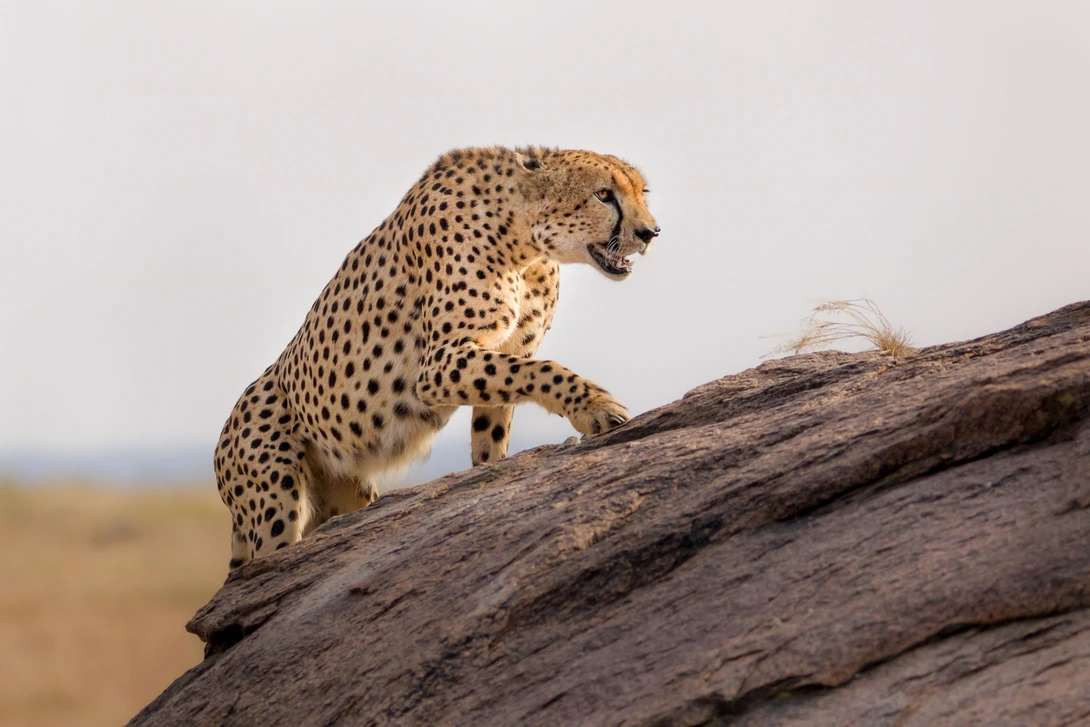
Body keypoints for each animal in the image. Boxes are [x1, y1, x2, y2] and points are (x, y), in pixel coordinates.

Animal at [214, 146, 660, 568]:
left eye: (643, 192)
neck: (523, 242)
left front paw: (491, 471)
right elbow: (542, 370)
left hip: (347, 490)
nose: (651, 232)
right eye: (604, 195)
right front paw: (596, 407)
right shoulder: (439, 365)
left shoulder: (504, 351)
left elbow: (497, 419)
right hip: (275, 499)